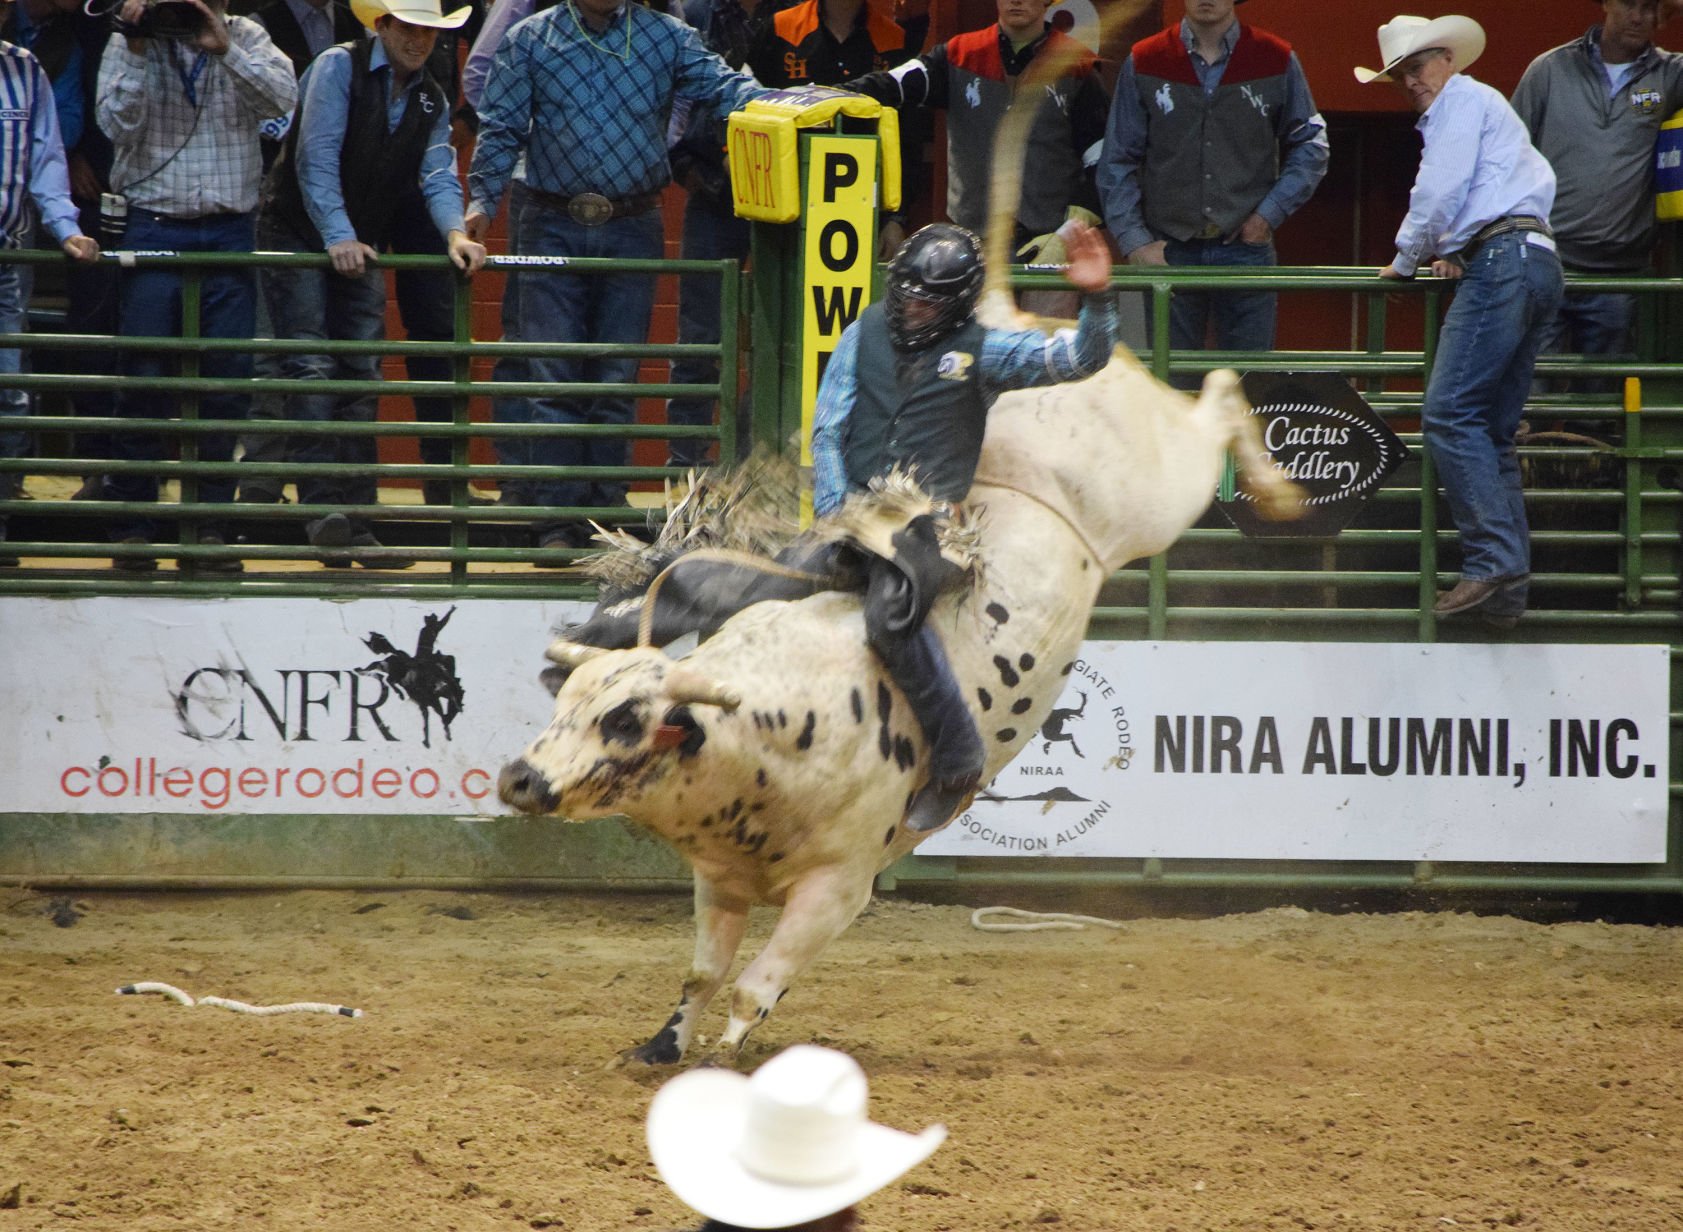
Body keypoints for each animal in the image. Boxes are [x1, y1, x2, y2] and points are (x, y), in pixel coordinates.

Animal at [498, 353, 1299, 1056]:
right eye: (565, 705)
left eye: (624, 718)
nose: (518, 779)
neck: (771, 731)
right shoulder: (719, 880)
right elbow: (702, 975)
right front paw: (660, 1048)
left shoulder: (838, 889)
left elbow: (754, 989)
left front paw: (728, 1056)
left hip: (1160, 487)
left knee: (1218, 401)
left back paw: (1274, 488)